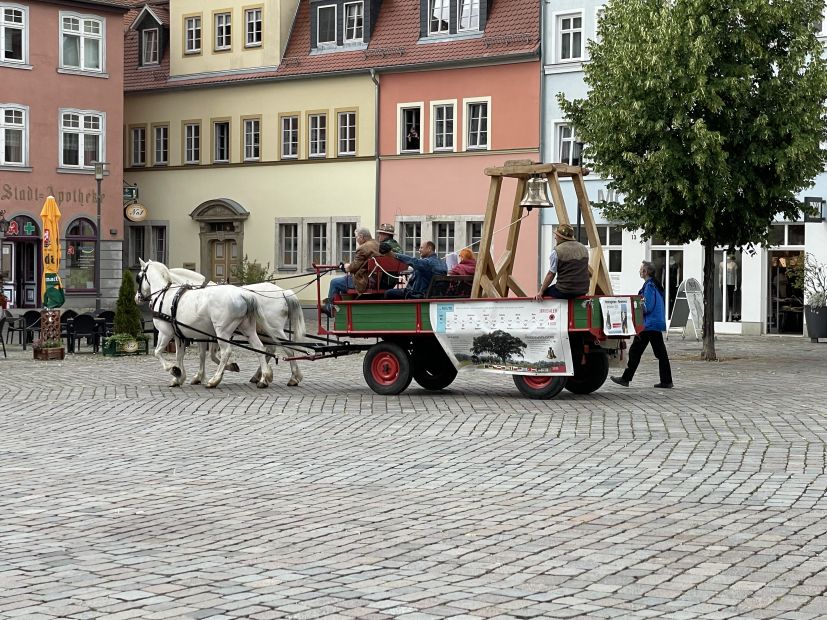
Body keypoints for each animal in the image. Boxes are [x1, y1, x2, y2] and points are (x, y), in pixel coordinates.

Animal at [135, 258, 273, 389]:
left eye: (139, 277)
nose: (137, 298)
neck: (166, 294)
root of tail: (244, 295)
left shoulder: (165, 333)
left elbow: (157, 352)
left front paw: (173, 369)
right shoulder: (180, 335)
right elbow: (180, 355)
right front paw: (179, 377)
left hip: (222, 332)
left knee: (226, 352)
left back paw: (215, 380)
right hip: (248, 329)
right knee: (259, 348)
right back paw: (264, 378)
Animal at [167, 267, 305, 387]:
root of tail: (283, 292)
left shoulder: (205, 333)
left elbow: (207, 355)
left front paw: (203, 376)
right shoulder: (210, 334)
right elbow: (207, 355)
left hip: (274, 330)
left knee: (287, 349)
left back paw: (292, 377)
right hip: (263, 331)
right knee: (269, 349)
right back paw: (261, 375)